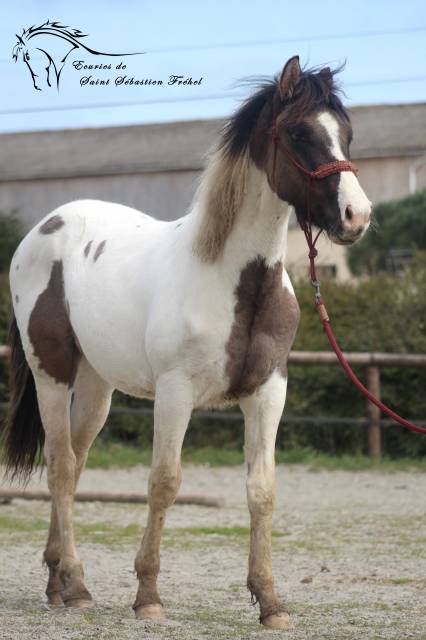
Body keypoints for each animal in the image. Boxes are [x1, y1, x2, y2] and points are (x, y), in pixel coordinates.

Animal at [2, 56, 371, 629]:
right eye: (299, 133)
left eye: (346, 134)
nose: (357, 216)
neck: (233, 280)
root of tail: (44, 229)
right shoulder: (175, 393)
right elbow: (164, 482)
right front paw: (148, 595)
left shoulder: (268, 393)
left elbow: (262, 491)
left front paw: (270, 601)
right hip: (51, 374)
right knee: (61, 468)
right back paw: (78, 585)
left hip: (96, 387)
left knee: (76, 463)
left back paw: (58, 581)